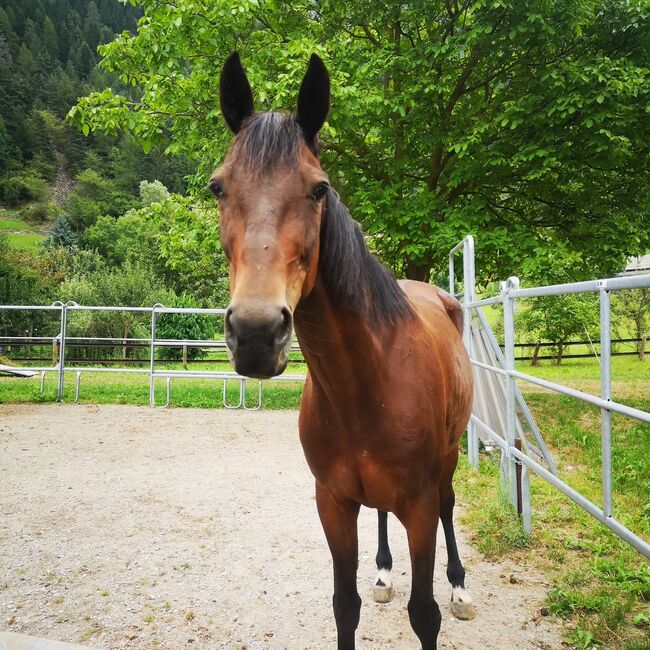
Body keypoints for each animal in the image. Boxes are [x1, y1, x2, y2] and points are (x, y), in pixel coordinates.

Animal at [211, 52, 475, 650]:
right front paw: (371, 580)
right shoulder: (332, 503)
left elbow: (425, 613)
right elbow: (343, 606)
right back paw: (381, 571)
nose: (257, 333)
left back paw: (460, 586)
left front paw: (442, 594)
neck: (367, 381)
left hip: (447, 464)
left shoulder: (419, 506)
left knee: (451, 507)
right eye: (218, 187)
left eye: (318, 190)